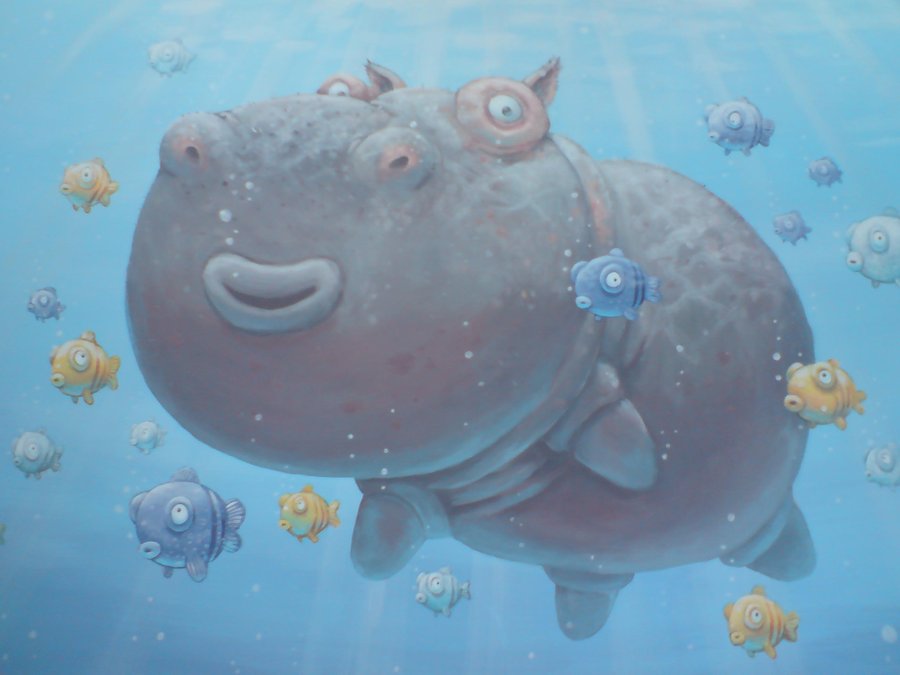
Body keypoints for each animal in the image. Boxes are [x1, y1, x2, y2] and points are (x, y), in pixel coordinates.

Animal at [126, 59, 816, 640]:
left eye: (506, 112)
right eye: (338, 88)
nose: (273, 148)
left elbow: (616, 439)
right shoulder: (402, 483)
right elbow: (387, 527)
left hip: (758, 516)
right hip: (596, 565)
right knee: (592, 583)